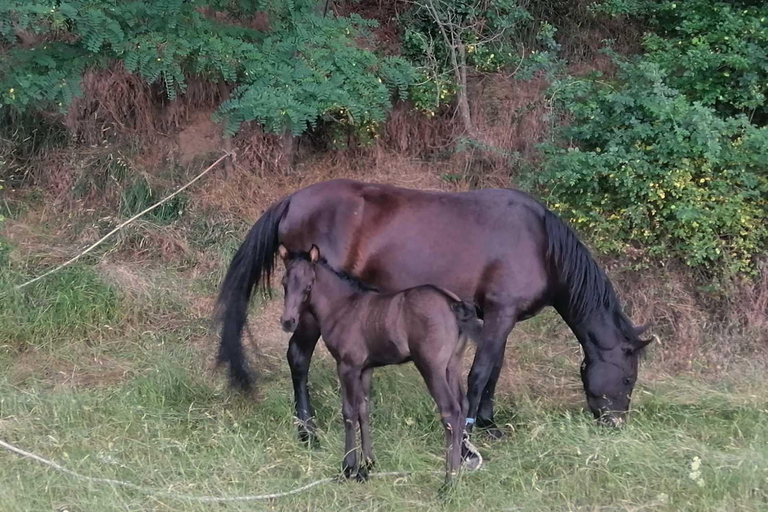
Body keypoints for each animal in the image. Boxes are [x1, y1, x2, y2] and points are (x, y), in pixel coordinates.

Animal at [216, 178, 656, 442]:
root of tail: (293, 199)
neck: (541, 245)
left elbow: (494, 370)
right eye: (629, 378)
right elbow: (480, 372)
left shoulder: (498, 318)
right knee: (298, 357)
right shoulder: (499, 314)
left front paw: (489, 423)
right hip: (307, 309)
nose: (615, 424)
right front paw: (470, 429)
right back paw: (307, 429)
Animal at [276, 244, 480, 484]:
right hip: (452, 365)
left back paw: (449, 482)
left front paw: (348, 468)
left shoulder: (347, 366)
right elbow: (364, 410)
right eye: (284, 283)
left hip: (431, 367)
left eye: (309, 285)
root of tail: (452, 303)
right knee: (463, 406)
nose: (288, 322)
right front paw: (367, 466)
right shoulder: (366, 368)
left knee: (450, 411)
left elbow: (349, 412)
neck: (343, 306)